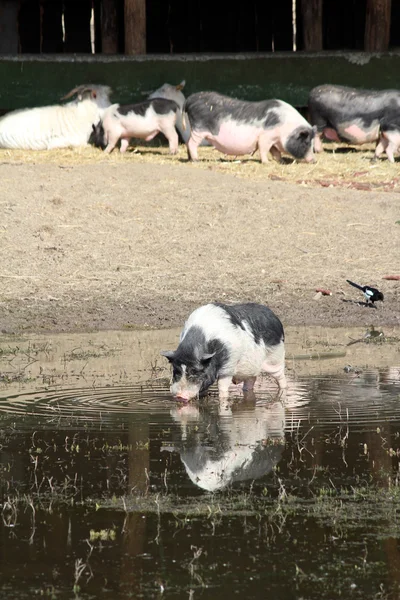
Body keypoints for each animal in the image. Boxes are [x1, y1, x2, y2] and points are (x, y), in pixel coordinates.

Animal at [160, 302, 288, 400]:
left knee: (280, 377)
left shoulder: (228, 367)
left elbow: (222, 387)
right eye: (176, 371)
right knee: (251, 381)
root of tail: (275, 317)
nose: (180, 397)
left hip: (275, 357)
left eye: (195, 371)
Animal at [183, 91, 318, 163]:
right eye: (306, 142)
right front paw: (267, 163)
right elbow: (264, 149)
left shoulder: (274, 140)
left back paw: (190, 159)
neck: (286, 127)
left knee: (187, 142)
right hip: (199, 128)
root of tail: (189, 100)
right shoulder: (266, 136)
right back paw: (196, 160)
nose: (314, 160)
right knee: (192, 143)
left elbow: (275, 151)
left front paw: (281, 161)